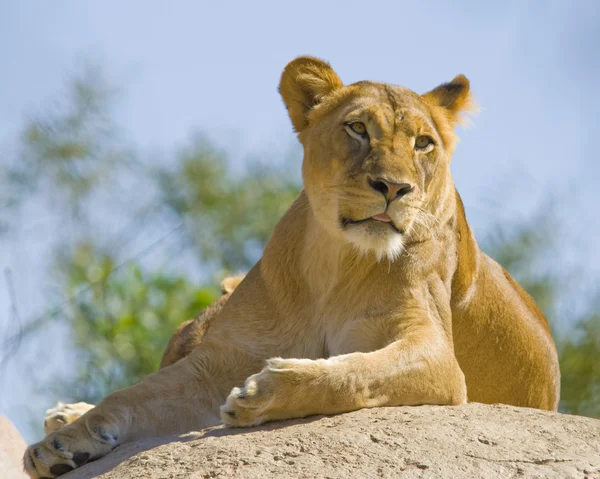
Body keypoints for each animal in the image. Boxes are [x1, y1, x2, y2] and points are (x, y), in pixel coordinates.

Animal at [23, 58, 560, 478]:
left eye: (423, 143)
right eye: (358, 129)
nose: (394, 187)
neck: (337, 261)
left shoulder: (439, 359)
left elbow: (356, 371)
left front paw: (262, 391)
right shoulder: (218, 359)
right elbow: (130, 396)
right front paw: (61, 444)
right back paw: (63, 418)